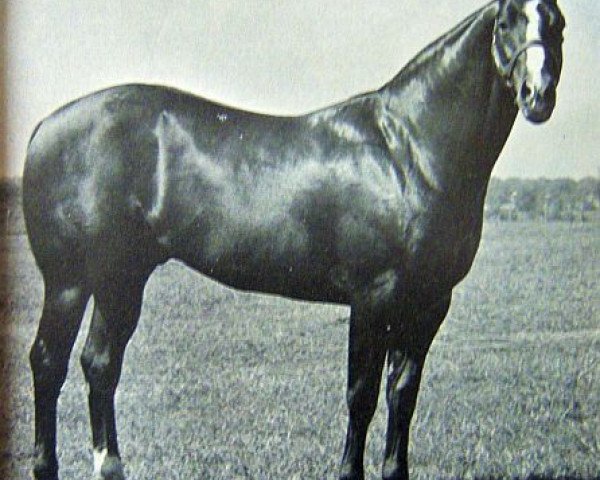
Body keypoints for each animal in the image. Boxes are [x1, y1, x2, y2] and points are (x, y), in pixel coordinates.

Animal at [23, 0, 564, 480]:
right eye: (506, 21)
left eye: (557, 22)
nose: (538, 94)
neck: (407, 151)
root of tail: (45, 126)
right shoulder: (373, 297)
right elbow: (362, 395)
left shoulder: (430, 302)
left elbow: (403, 394)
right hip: (69, 281)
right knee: (49, 363)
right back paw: (46, 466)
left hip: (122, 278)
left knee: (99, 363)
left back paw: (109, 466)